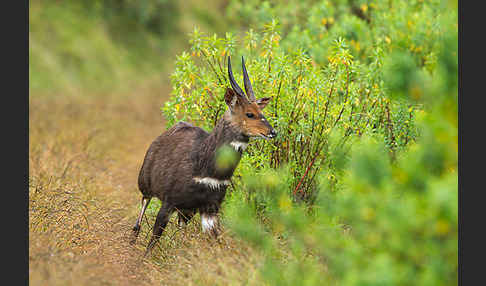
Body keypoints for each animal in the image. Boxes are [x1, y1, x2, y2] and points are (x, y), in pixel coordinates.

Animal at [131, 55, 276, 256]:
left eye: (262, 112)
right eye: (250, 114)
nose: (273, 132)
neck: (204, 166)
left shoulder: (210, 208)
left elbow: (217, 241)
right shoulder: (169, 201)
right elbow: (154, 237)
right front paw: (143, 261)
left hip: (186, 211)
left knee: (181, 230)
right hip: (146, 186)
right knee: (139, 218)